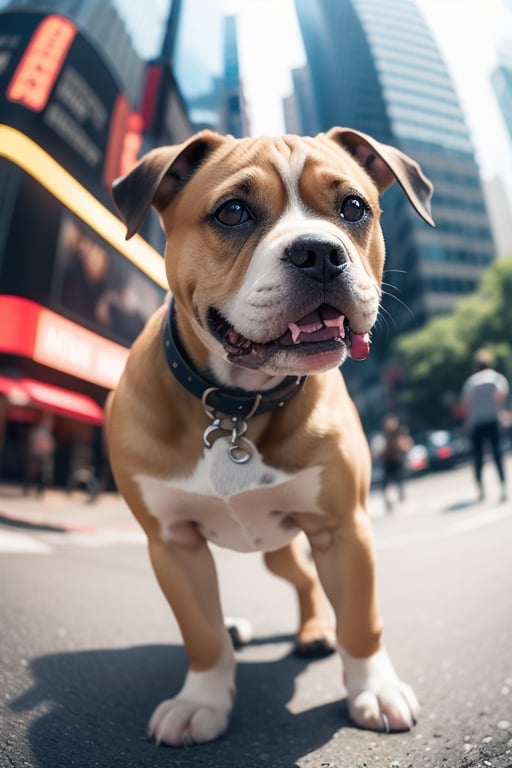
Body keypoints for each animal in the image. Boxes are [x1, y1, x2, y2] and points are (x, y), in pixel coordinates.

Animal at [106, 129, 434, 748]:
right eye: (232, 212)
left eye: (353, 207)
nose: (319, 252)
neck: (236, 402)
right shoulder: (172, 545)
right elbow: (202, 633)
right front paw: (202, 702)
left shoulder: (343, 529)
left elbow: (362, 620)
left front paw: (374, 689)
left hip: (285, 543)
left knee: (305, 582)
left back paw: (314, 630)